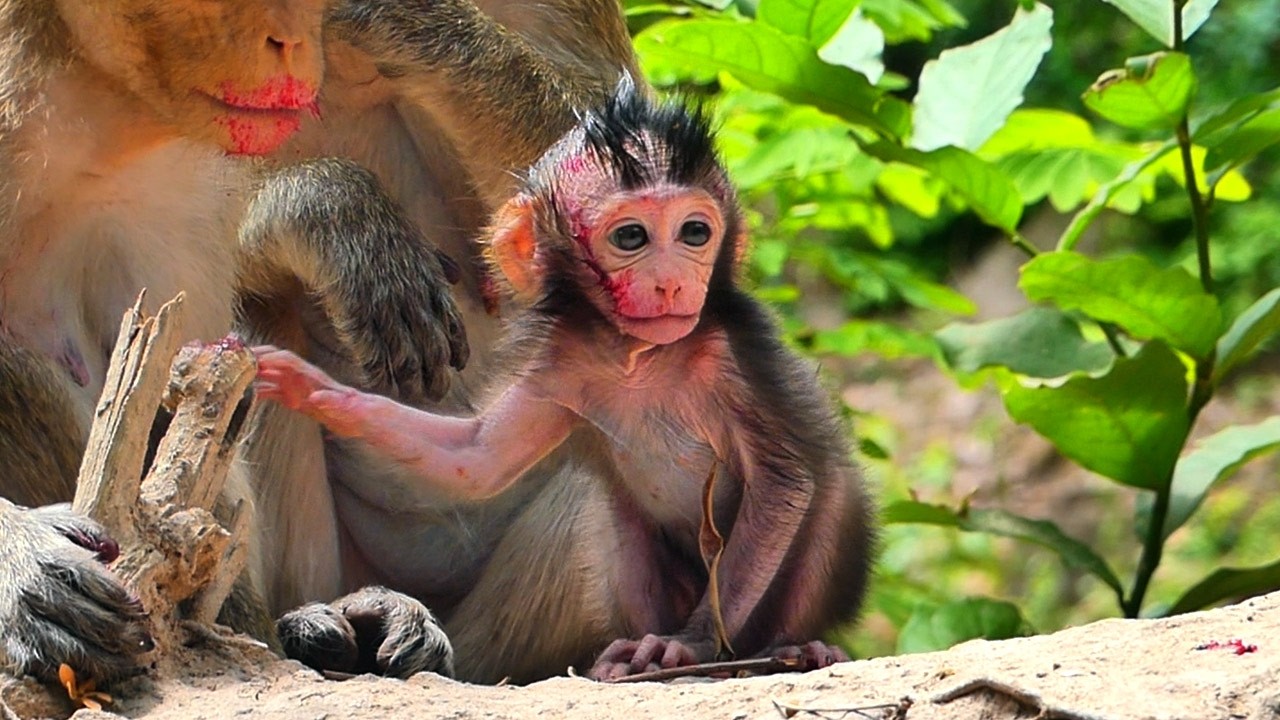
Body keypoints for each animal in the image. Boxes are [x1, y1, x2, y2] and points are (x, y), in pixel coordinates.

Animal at [255, 81, 876, 681]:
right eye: (631, 238)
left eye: (695, 232)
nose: (673, 282)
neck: (641, 358)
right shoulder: (563, 363)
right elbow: (475, 459)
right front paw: (307, 386)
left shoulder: (732, 359)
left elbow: (784, 483)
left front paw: (693, 642)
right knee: (611, 512)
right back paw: (623, 656)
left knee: (822, 503)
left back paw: (790, 648)